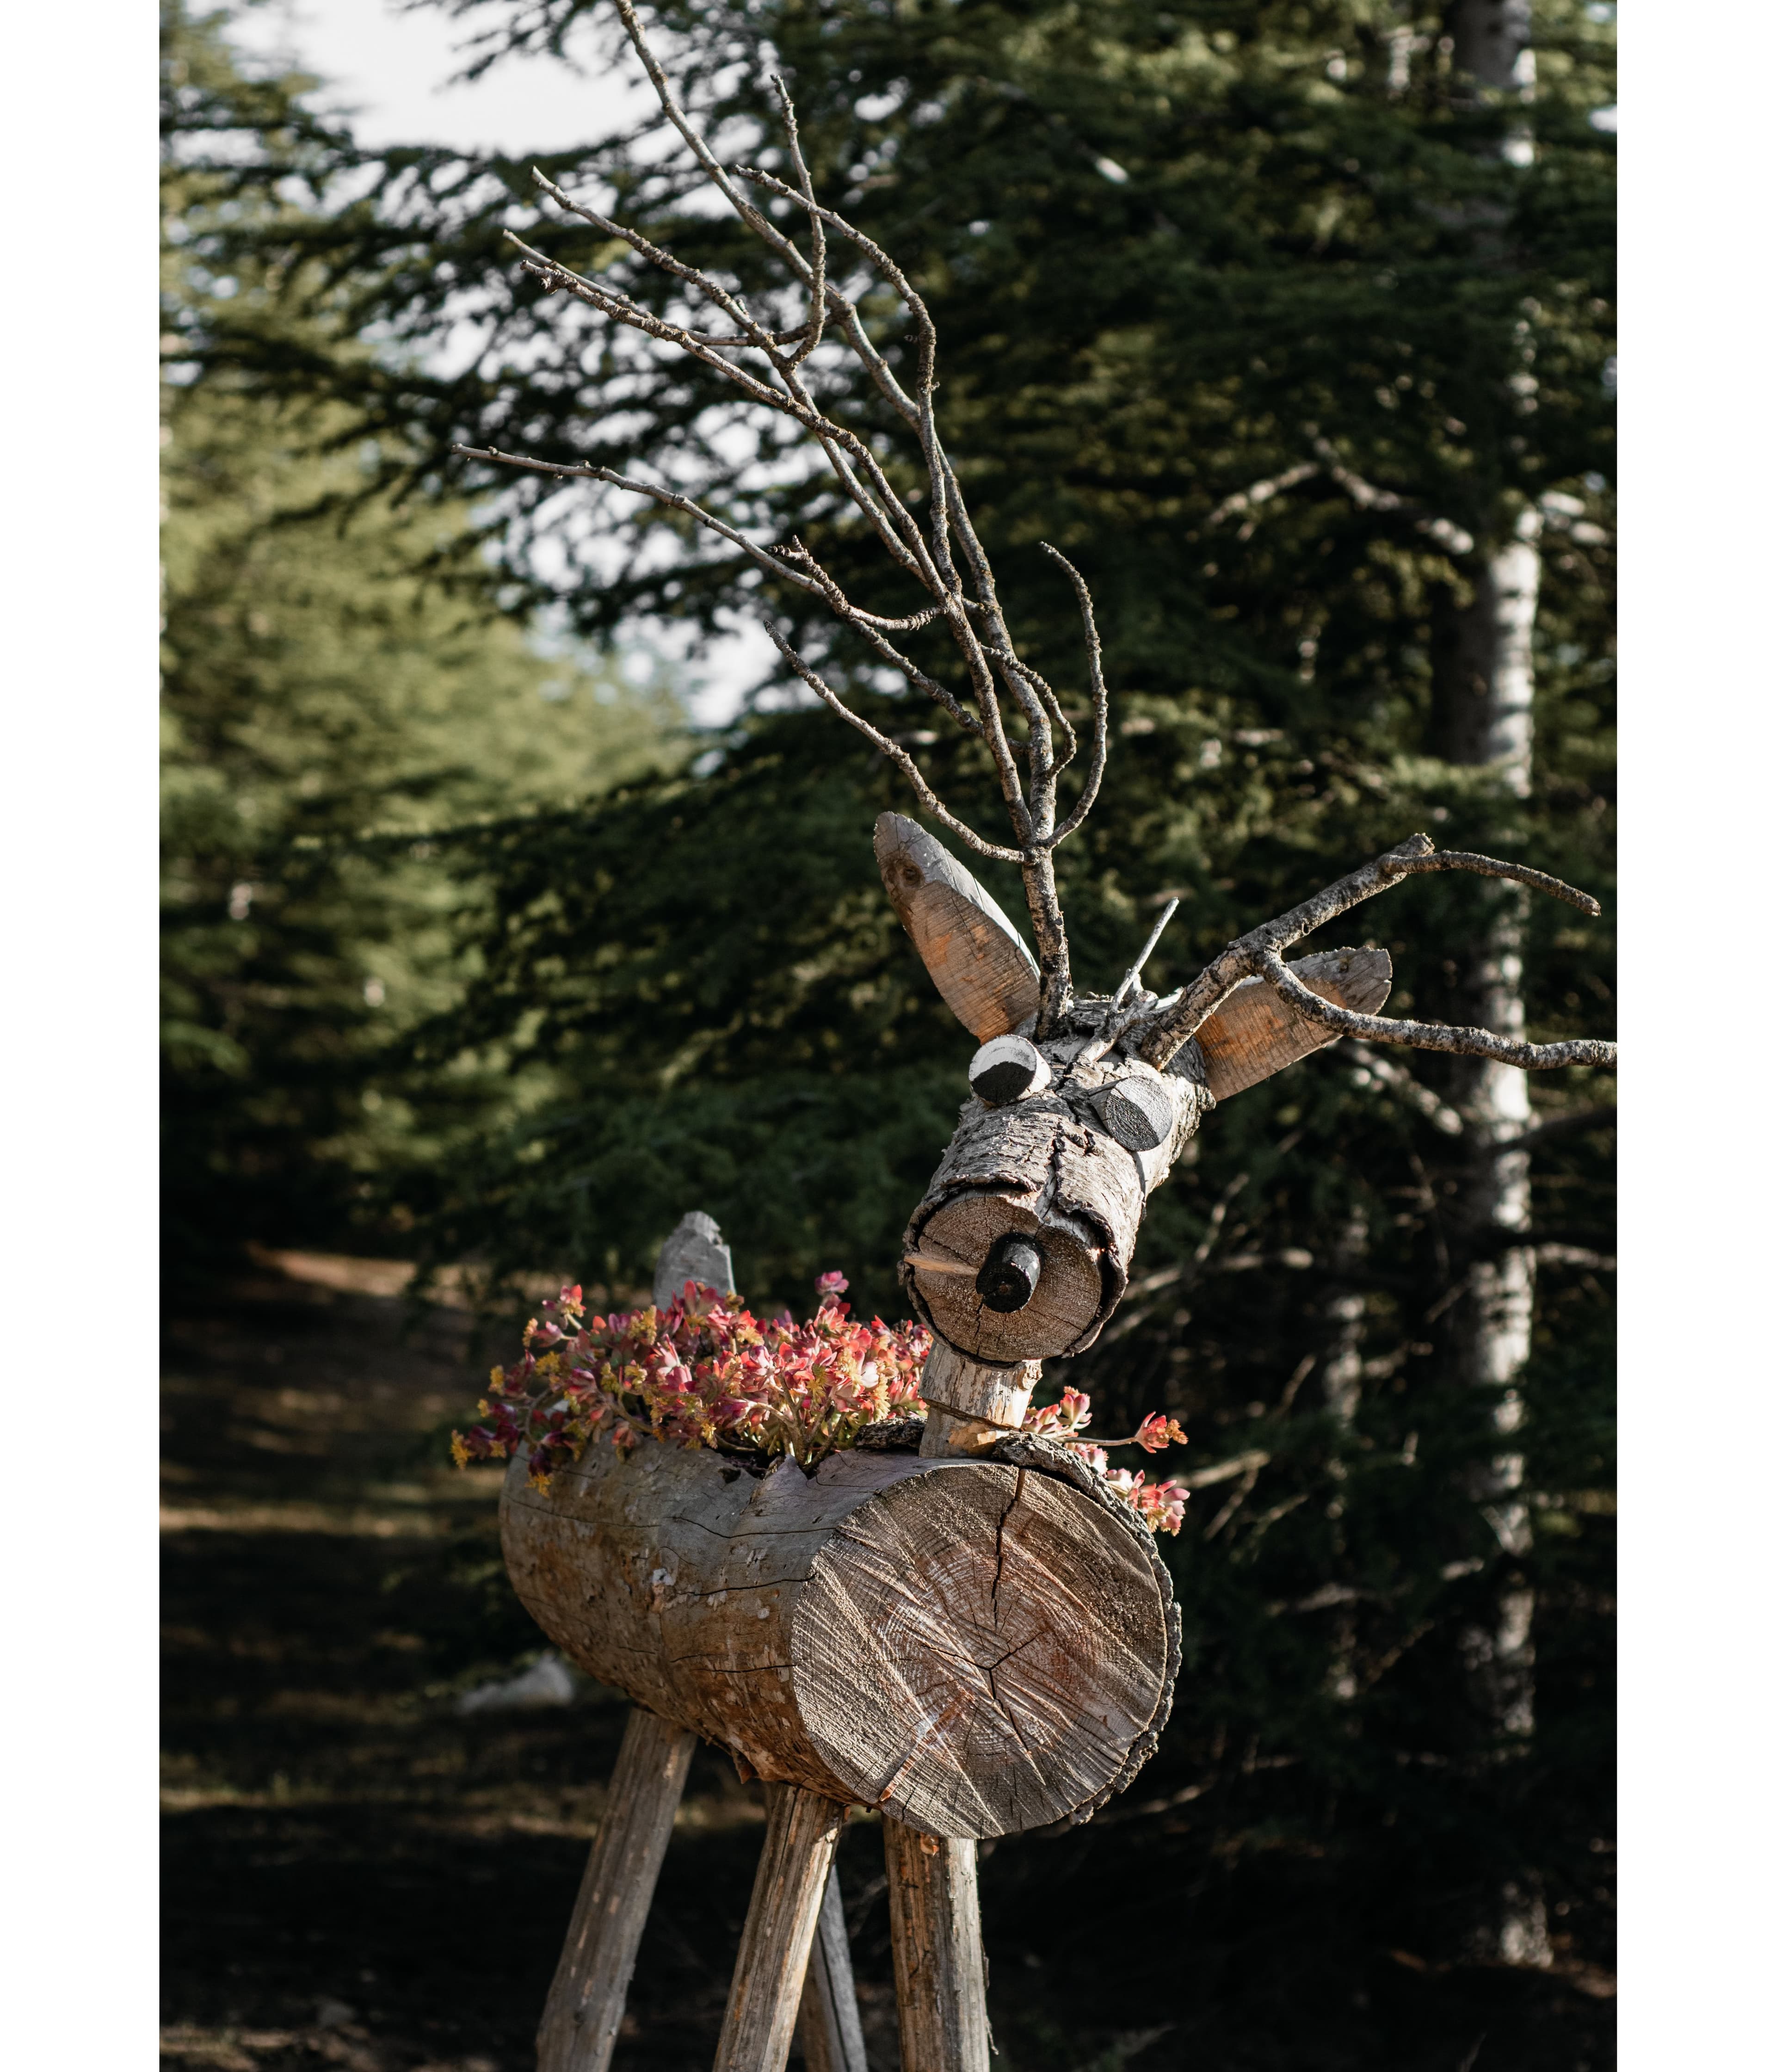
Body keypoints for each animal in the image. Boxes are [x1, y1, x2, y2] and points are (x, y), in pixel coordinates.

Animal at [455, 9, 1617, 2067]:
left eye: (1154, 1138)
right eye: (997, 1078)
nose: (1015, 1253)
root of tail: (666, 1321)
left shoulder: (905, 1787)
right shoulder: (812, 1721)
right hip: (661, 1683)